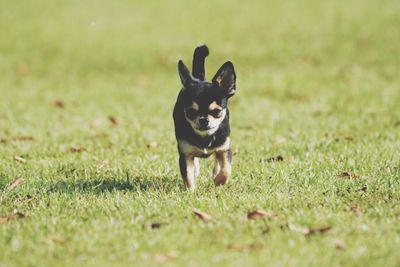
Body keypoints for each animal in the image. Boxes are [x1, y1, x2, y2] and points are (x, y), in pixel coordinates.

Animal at [173, 44, 236, 191]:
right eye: (191, 111)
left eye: (217, 111)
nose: (203, 120)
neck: (205, 136)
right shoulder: (185, 155)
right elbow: (188, 176)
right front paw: (190, 192)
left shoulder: (225, 149)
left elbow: (226, 169)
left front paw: (219, 180)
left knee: (218, 161)